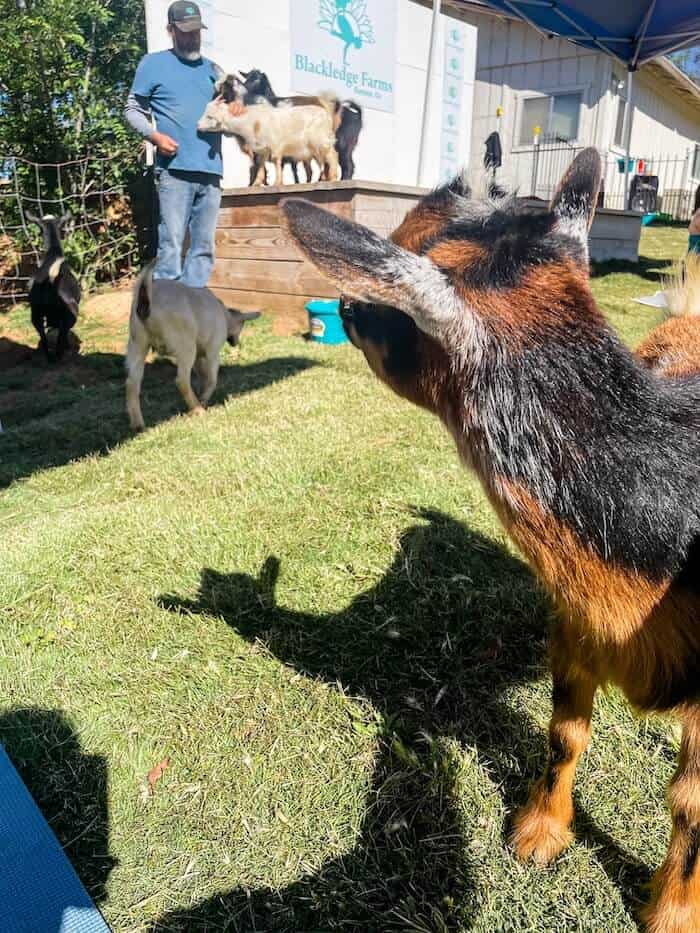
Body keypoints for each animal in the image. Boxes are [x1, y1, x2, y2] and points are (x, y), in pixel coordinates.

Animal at [26, 212, 80, 362]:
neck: (53, 253)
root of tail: (50, 284)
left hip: (35, 315)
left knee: (43, 338)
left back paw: (50, 358)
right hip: (71, 312)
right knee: (62, 335)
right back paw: (62, 354)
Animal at [281, 149, 700, 932]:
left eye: (388, 303)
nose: (344, 306)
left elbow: (689, 803)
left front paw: (672, 914)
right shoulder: (572, 621)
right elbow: (565, 732)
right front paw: (538, 834)